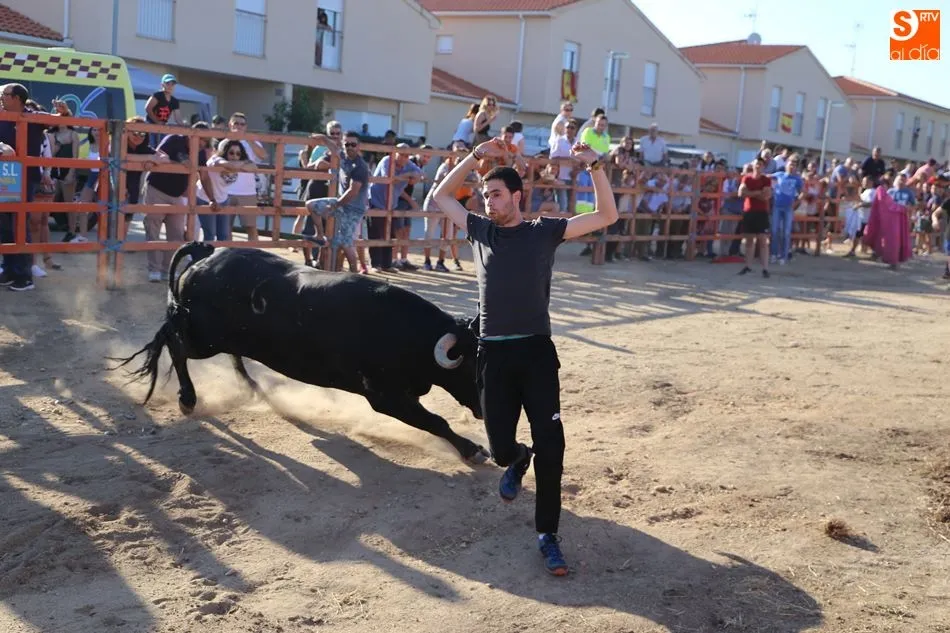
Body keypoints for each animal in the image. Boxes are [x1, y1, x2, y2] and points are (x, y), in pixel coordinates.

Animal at [113, 242, 490, 464]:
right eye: (473, 368)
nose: (485, 411)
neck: (406, 332)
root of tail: (209, 252)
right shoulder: (385, 397)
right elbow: (436, 421)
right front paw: (472, 450)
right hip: (204, 339)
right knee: (174, 344)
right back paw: (188, 399)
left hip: (224, 339)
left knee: (221, 352)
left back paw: (252, 388)